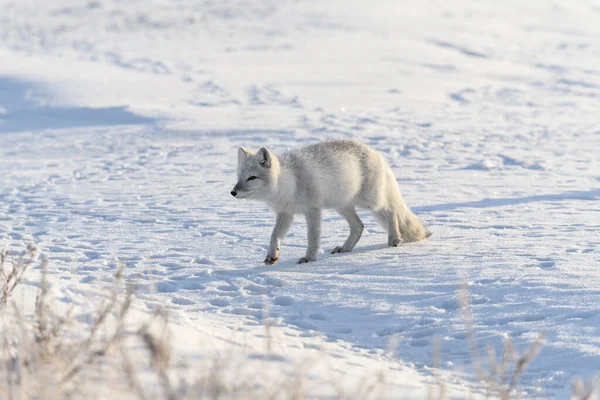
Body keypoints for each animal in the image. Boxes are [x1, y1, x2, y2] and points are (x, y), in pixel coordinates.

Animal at [230, 138, 432, 266]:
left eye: (252, 178)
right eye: (239, 176)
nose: (233, 192)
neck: (288, 182)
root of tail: (376, 153)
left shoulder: (313, 210)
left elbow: (312, 238)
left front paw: (309, 258)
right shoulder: (285, 213)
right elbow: (274, 236)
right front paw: (272, 256)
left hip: (369, 202)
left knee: (391, 209)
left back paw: (394, 238)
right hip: (342, 206)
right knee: (359, 226)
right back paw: (346, 248)